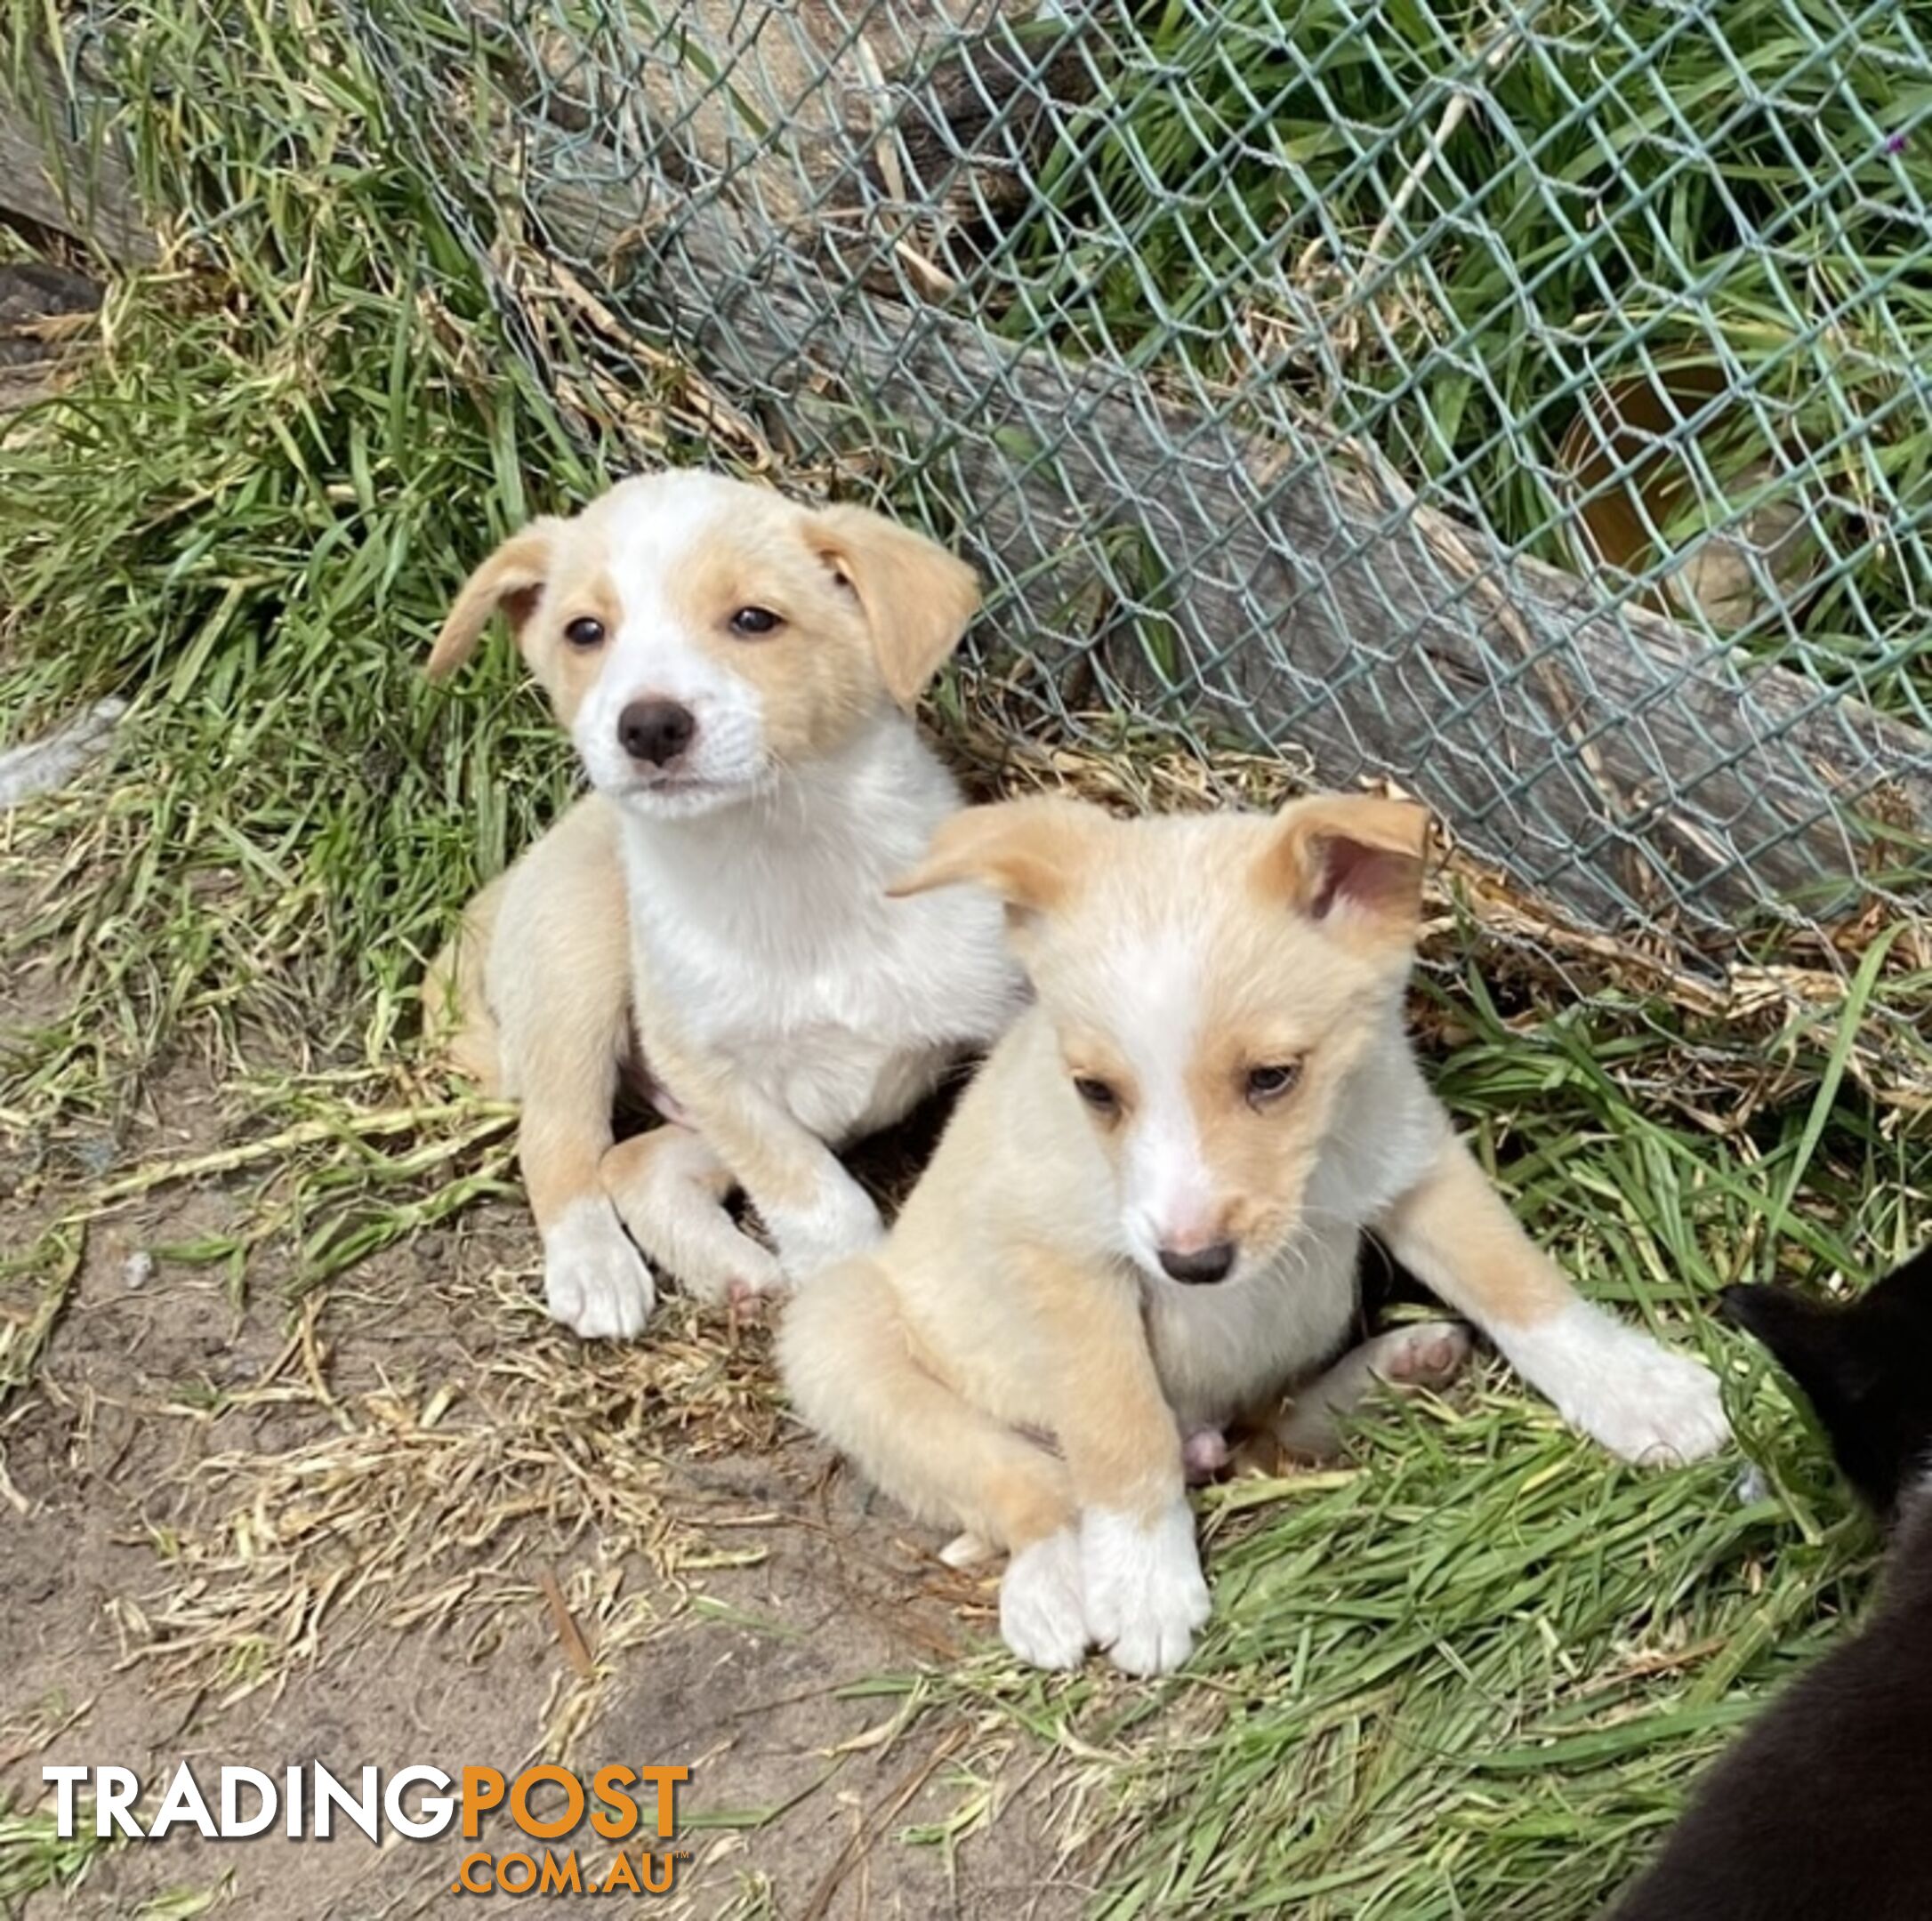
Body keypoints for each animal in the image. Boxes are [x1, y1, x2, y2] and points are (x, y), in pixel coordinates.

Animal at [424, 470, 1027, 1330]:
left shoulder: (1007, 1009)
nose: (648, 726)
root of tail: (519, 873)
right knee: (561, 1140)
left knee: (635, 1162)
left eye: (753, 619)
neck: (781, 862)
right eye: (585, 631)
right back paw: (598, 1270)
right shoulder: (710, 1068)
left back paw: (733, 1268)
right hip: (577, 979)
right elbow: (820, 1200)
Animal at [777, 784, 1731, 1669]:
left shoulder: (1415, 1162)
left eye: (1273, 1077)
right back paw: (1055, 1588)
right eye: (1095, 1092)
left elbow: (1521, 1284)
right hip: (838, 1334)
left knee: (1267, 1430)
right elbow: (1118, 1423)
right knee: (1030, 1484)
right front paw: (1145, 1583)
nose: (1193, 1264)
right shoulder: (1063, 1258)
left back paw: (1398, 1365)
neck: (1317, 1170)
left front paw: (1642, 1391)